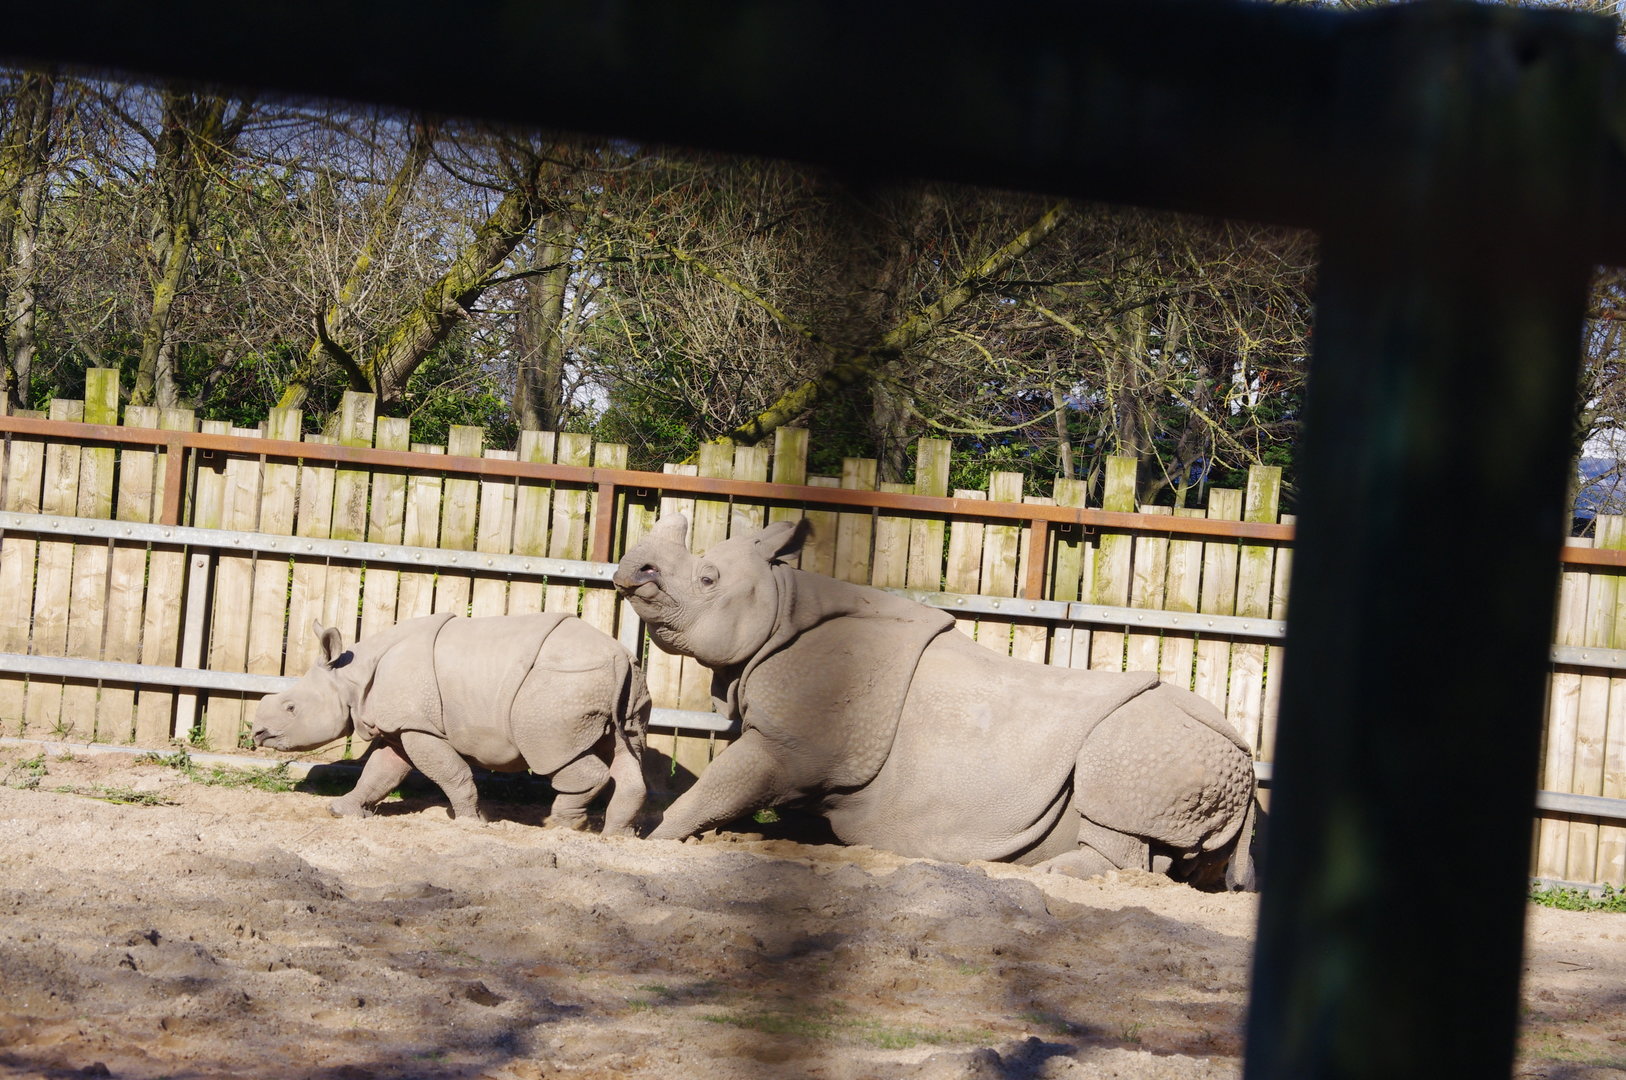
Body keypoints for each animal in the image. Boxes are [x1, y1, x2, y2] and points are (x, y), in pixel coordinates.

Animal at [251, 612, 650, 834]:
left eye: (290, 708)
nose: (256, 733)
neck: (352, 676)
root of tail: (619, 657)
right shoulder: (401, 725)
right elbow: (379, 773)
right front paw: (340, 811)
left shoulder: (417, 725)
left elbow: (450, 773)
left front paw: (472, 822)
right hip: (617, 686)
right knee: (624, 751)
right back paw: (615, 836)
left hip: (559, 691)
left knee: (558, 755)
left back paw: (559, 827)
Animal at [614, 514, 1257, 889]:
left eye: (708, 581)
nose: (631, 572)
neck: (780, 603)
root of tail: (1246, 757)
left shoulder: (790, 745)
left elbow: (720, 784)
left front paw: (652, 838)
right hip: (1201, 751)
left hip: (1152, 739)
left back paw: (1054, 875)